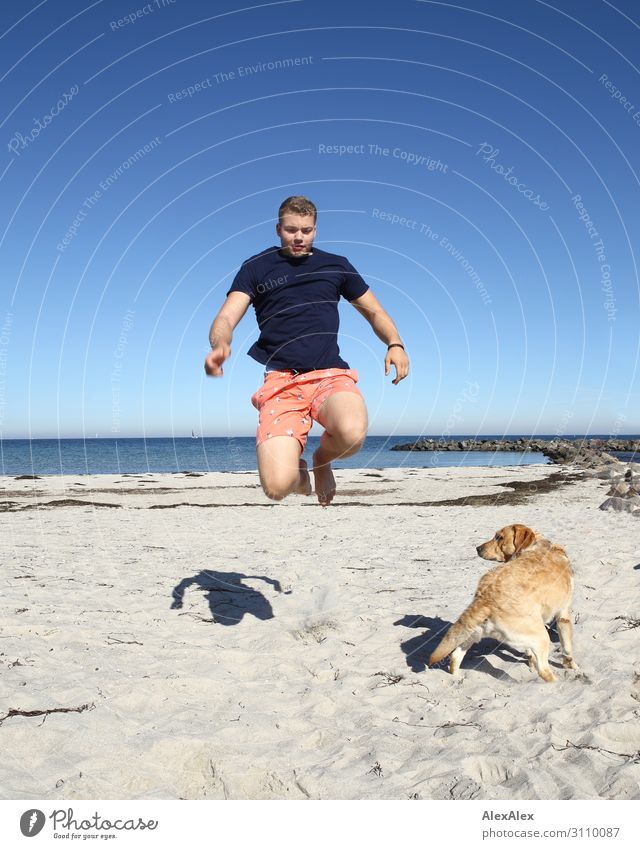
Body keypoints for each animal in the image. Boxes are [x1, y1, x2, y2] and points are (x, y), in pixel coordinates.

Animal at [428, 524, 576, 684]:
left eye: (499, 537)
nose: (478, 548)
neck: (538, 545)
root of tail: (486, 598)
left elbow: (530, 654)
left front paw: (531, 663)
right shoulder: (563, 615)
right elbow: (567, 649)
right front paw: (573, 667)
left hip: (474, 633)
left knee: (455, 657)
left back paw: (456, 678)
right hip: (542, 637)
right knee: (544, 671)